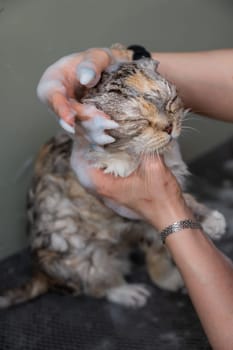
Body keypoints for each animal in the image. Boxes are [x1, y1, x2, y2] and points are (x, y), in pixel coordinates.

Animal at [0, 58, 226, 308]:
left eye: (171, 102)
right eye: (139, 120)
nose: (169, 128)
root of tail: (40, 273)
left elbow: (176, 214)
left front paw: (208, 220)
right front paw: (119, 162)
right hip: (84, 255)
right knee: (96, 284)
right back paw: (126, 292)